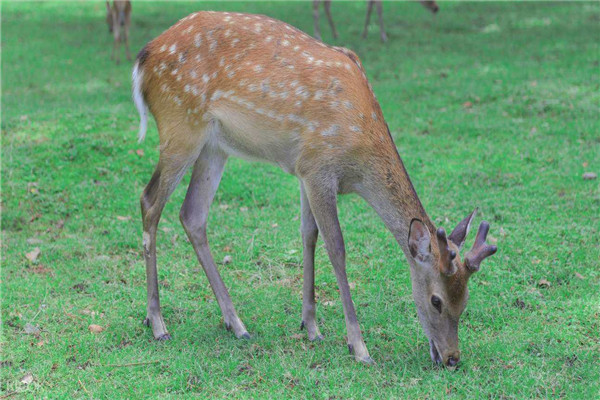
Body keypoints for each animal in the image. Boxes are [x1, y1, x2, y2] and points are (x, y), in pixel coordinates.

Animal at [132, 10, 496, 366]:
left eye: (465, 299)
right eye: (436, 300)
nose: (452, 358)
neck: (358, 161)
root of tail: (143, 58)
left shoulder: (306, 170)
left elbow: (309, 235)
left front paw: (311, 326)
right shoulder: (320, 167)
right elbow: (336, 247)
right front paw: (358, 346)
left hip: (214, 146)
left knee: (192, 214)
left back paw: (235, 324)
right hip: (181, 126)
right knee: (150, 201)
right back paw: (157, 322)